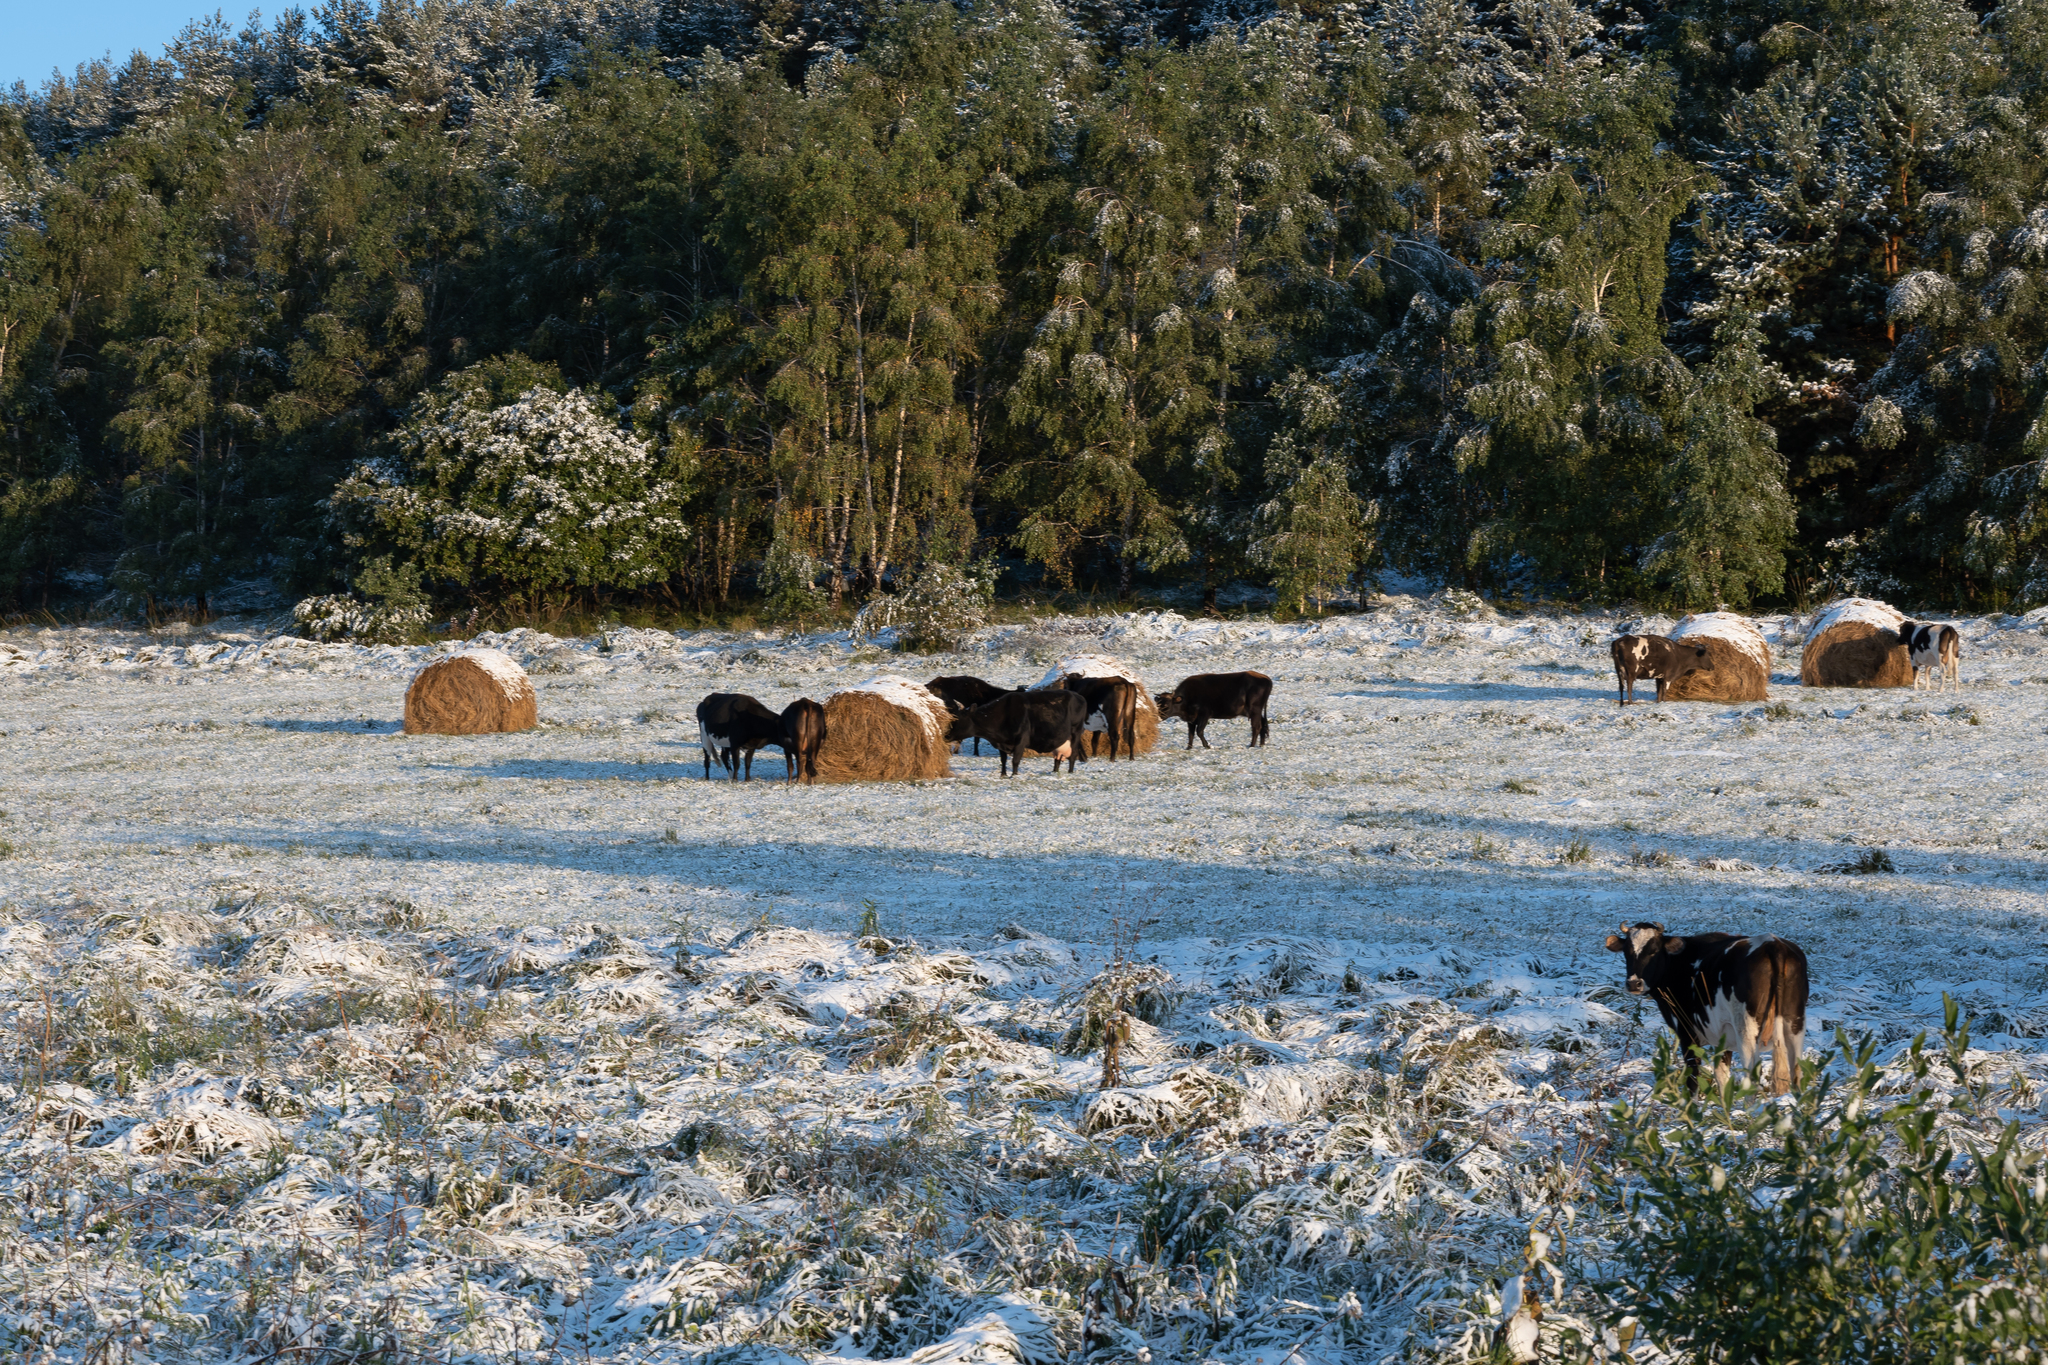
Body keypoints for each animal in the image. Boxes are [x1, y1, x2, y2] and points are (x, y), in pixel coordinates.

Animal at [946, 687, 1097, 773]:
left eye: (958, 720)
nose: (946, 736)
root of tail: (1079, 696)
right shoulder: (1002, 743)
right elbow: (1003, 760)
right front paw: (1003, 775)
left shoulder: (1021, 740)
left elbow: (1015, 760)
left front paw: (1014, 775)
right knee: (1058, 758)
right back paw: (1054, 772)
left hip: (1076, 732)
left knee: (1073, 754)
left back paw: (1070, 772)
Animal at [1597, 925, 1810, 1096]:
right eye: (1627, 952)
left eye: (1654, 951)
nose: (1634, 983)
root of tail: (1772, 943)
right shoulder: (1724, 1035)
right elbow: (1722, 1076)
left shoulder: (1686, 1031)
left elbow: (1692, 1079)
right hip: (1795, 1025)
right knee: (1797, 1073)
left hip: (1747, 1031)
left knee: (1752, 1079)